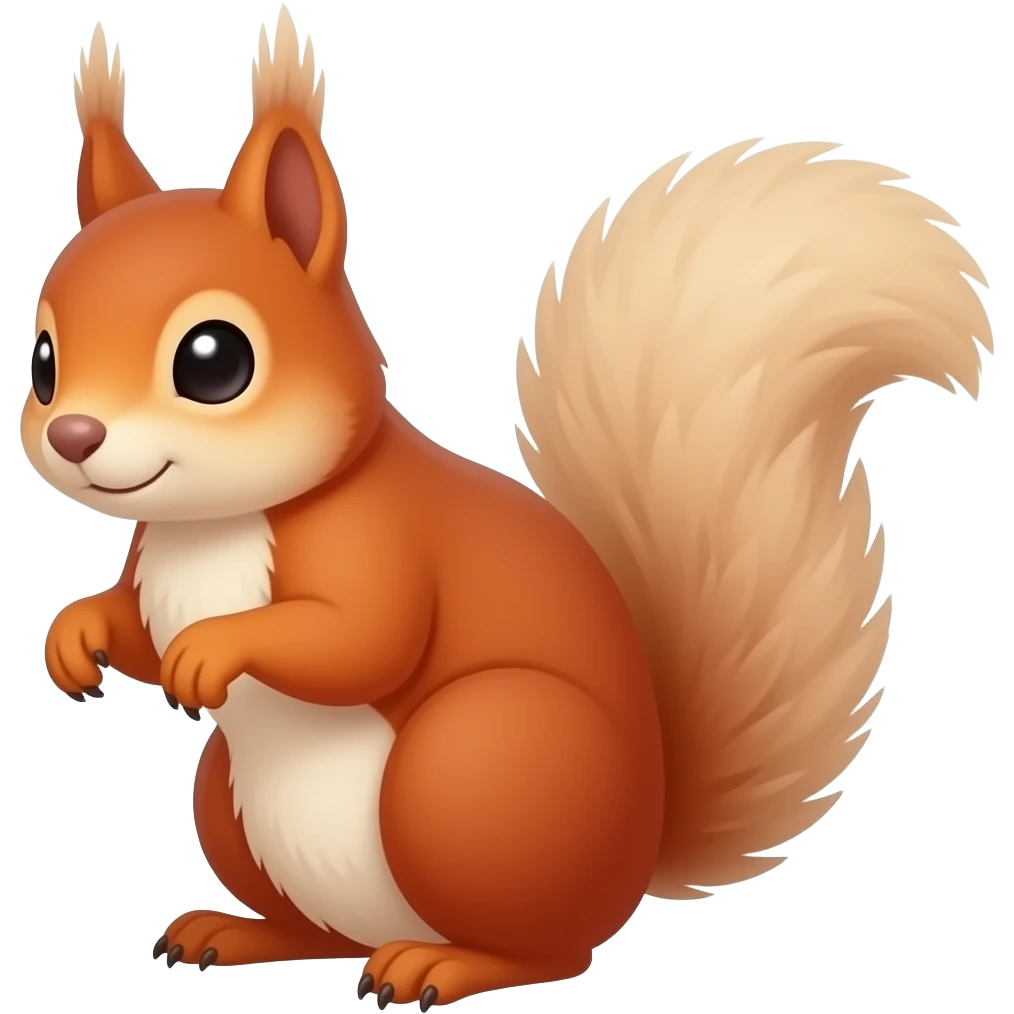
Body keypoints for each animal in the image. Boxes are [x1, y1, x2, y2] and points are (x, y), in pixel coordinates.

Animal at [23, 8, 993, 1009]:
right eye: (44, 362)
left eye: (213, 361)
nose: (74, 436)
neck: (213, 526)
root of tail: (634, 860)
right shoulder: (153, 564)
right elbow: (136, 628)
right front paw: (76, 634)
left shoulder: (377, 539)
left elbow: (363, 637)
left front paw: (214, 647)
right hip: (232, 801)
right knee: (318, 931)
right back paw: (239, 933)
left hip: (474, 766)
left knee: (550, 950)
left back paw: (442, 965)